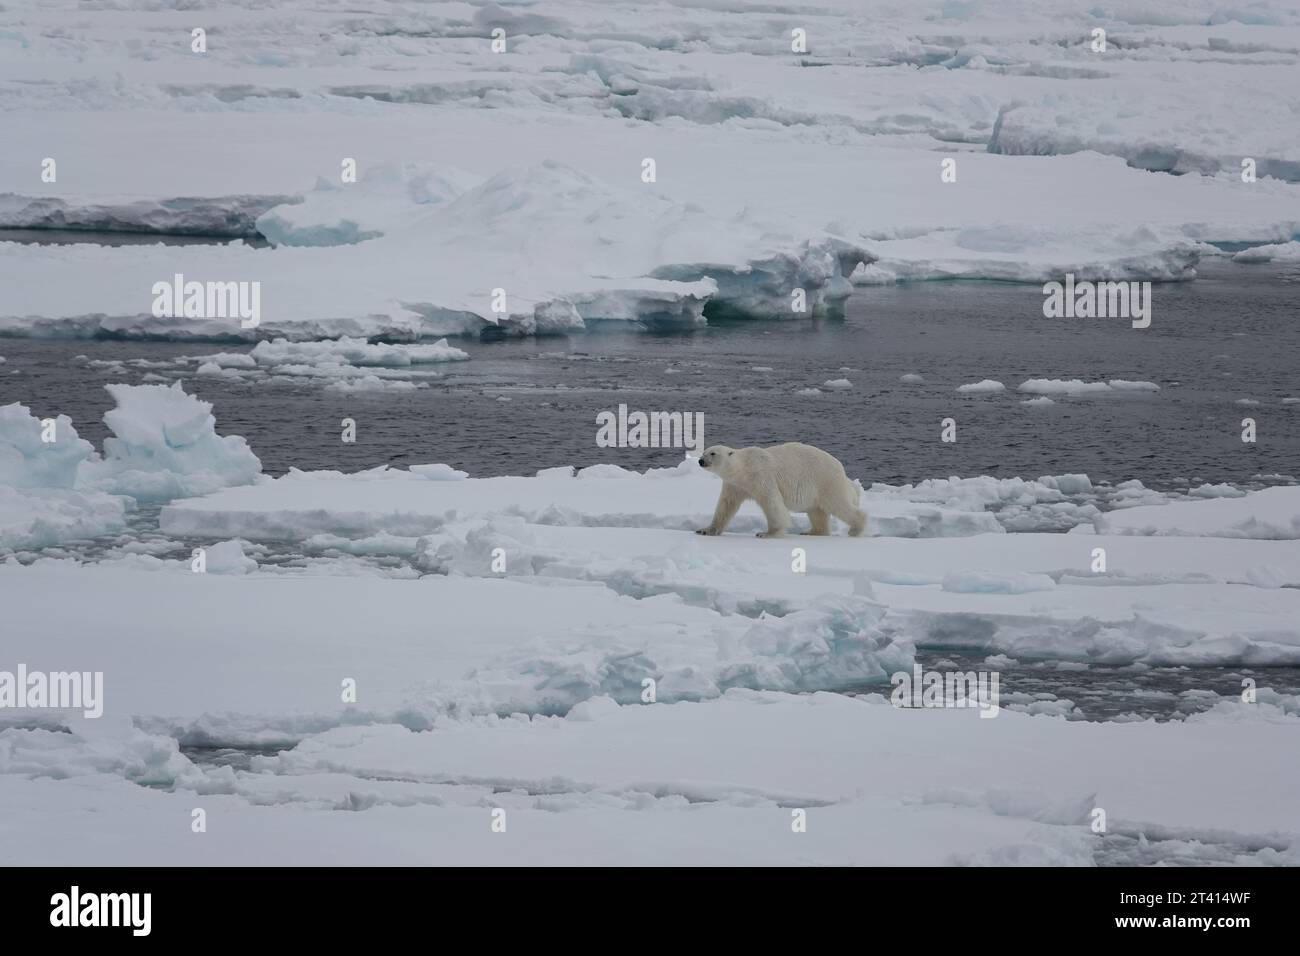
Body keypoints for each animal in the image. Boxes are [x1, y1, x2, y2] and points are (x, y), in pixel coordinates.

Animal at [695, 442, 867, 538]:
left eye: (713, 453)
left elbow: (772, 502)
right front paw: (706, 530)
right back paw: (812, 532)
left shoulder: (761, 475)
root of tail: (842, 470)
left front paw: (767, 533)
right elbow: (726, 506)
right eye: (703, 452)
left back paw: (855, 529)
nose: (701, 461)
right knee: (817, 512)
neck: (743, 469)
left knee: (838, 504)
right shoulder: (735, 485)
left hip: (826, 481)